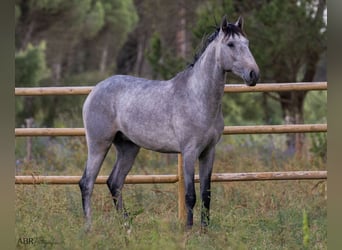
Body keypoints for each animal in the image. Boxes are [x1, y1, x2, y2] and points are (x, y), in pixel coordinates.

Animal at [79, 15, 260, 230]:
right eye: (231, 44)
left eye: (247, 43)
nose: (253, 74)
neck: (197, 96)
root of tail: (95, 90)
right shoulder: (189, 152)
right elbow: (190, 195)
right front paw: (189, 231)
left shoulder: (208, 152)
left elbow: (206, 194)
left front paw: (205, 231)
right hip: (99, 144)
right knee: (87, 183)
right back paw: (89, 228)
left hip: (128, 147)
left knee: (114, 183)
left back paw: (127, 227)